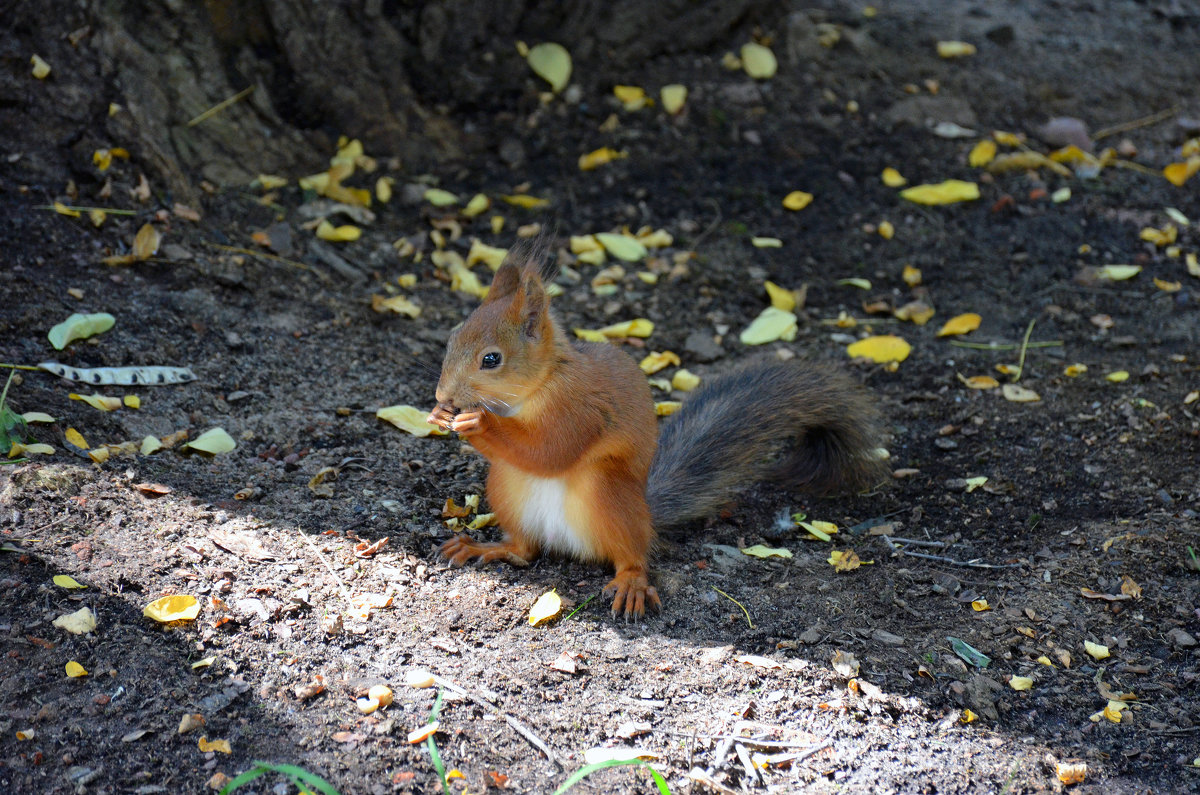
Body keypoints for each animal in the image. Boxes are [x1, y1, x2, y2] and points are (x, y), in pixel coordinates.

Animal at [427, 252, 888, 619]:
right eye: (452, 337)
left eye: (492, 359)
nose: (443, 396)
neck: (536, 388)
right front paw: (440, 415)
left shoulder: (581, 410)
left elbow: (550, 450)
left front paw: (478, 423)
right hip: (506, 486)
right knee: (524, 549)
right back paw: (485, 548)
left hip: (608, 492)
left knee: (631, 555)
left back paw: (631, 582)